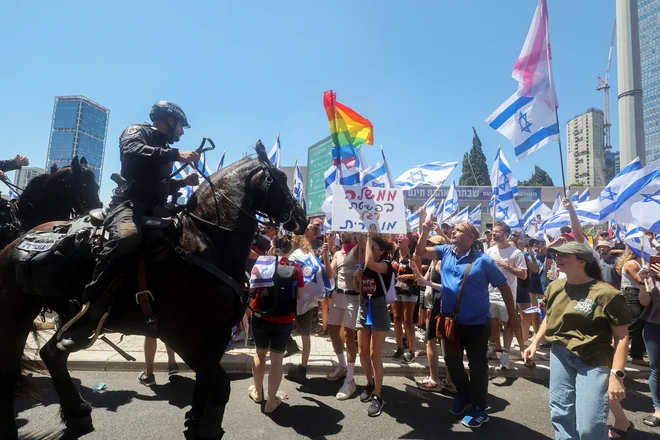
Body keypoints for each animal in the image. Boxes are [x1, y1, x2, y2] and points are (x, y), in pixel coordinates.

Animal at [0, 142, 308, 440]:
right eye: (276, 179)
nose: (302, 218)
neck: (207, 242)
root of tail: (16, 242)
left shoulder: (217, 337)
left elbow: (205, 384)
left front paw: (195, 424)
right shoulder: (181, 335)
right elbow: (220, 385)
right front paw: (208, 430)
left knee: (52, 353)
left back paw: (78, 415)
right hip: (16, 314)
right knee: (13, 367)